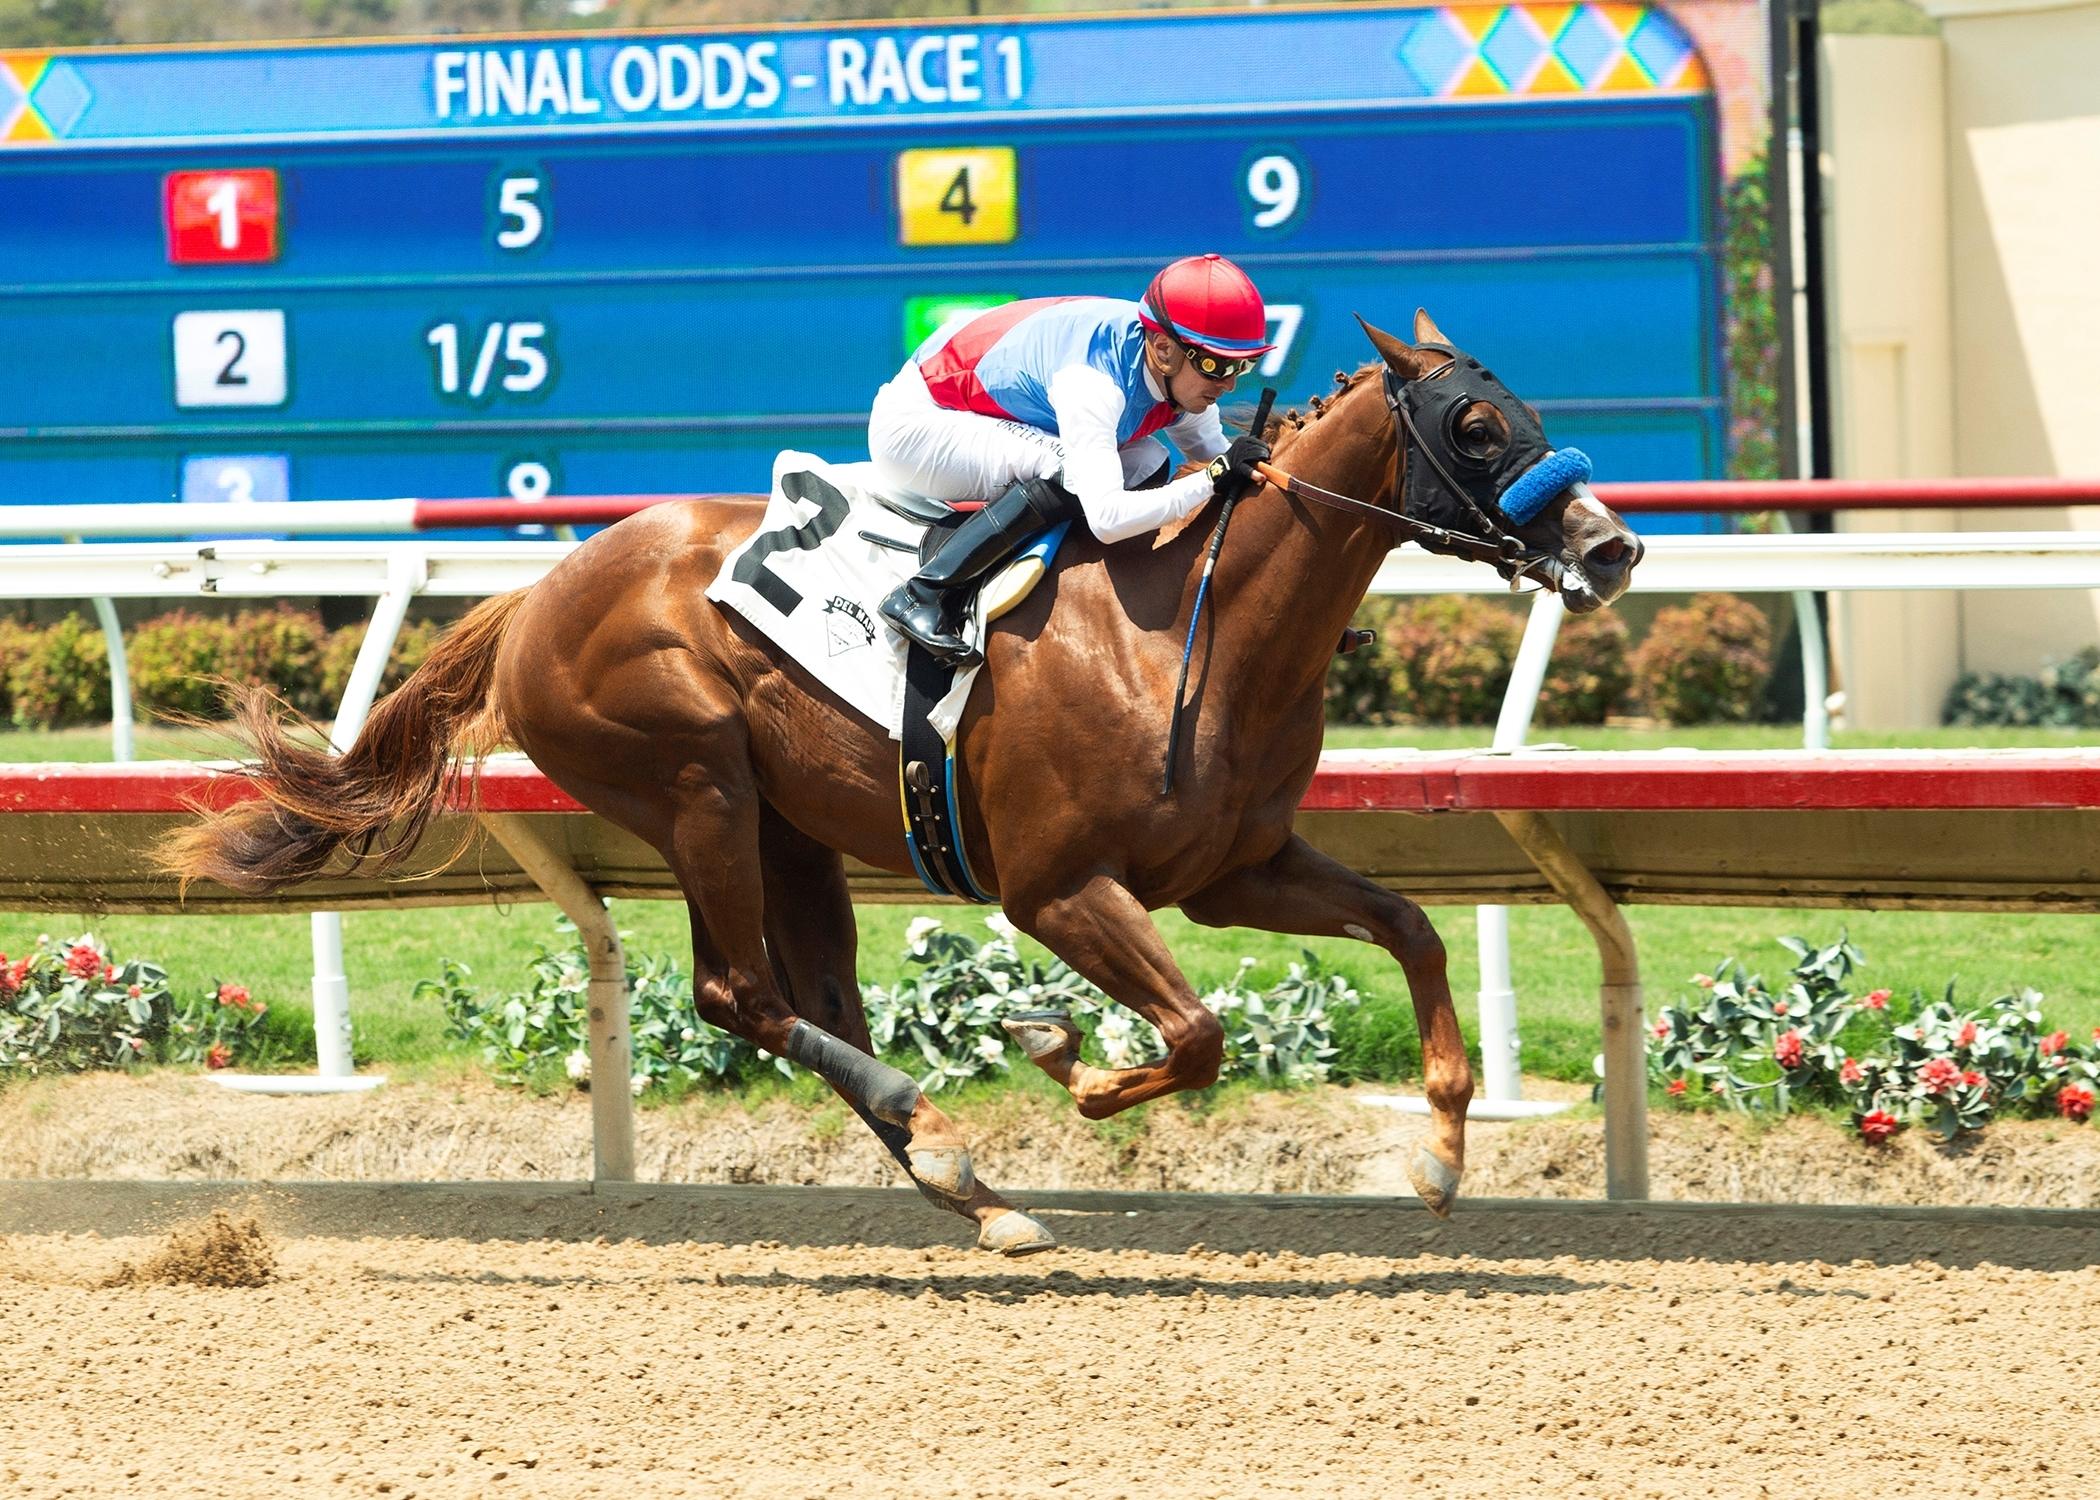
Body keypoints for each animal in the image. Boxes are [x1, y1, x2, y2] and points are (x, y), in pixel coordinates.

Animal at [161, 311, 1643, 1255]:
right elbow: (1197, 1037)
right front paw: (1065, 1060)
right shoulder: (1058, 888)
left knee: (817, 1001)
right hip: (694, 785)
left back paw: (970, 1190)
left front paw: (1440, 1152)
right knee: (740, 994)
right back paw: (940, 1138)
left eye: (1527, 409)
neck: (1195, 627)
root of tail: (539, 593)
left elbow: (1410, 928)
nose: (1614, 547)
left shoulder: (1234, 872)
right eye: (1474, 422)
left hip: (790, 824)